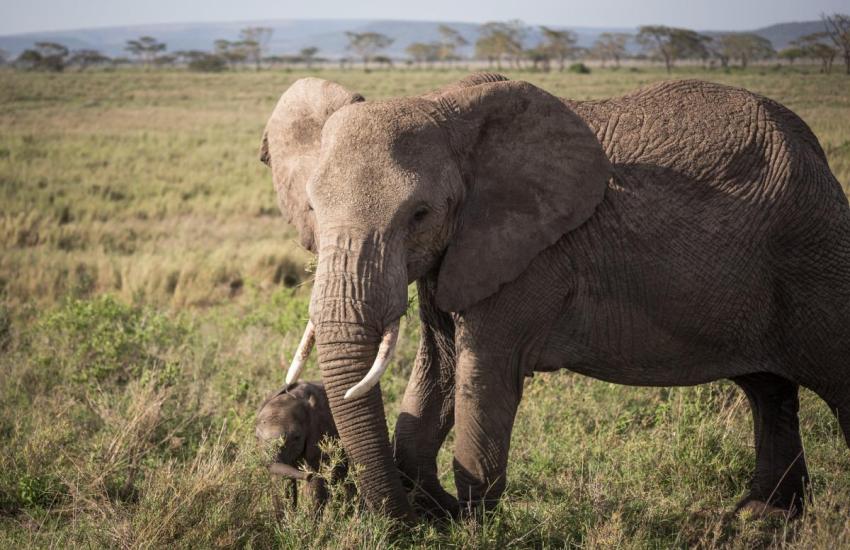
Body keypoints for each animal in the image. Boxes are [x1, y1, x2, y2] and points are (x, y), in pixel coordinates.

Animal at [255, 381, 345, 511]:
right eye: (257, 438)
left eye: (296, 437)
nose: (307, 475)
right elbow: (282, 481)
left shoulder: (321, 433)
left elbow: (317, 482)